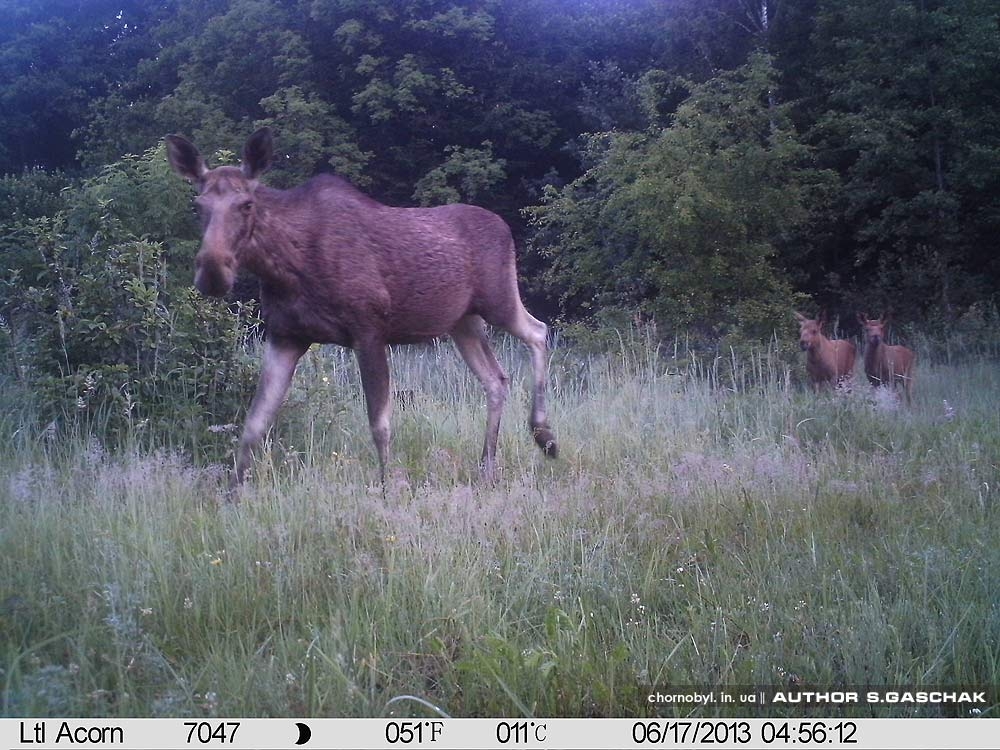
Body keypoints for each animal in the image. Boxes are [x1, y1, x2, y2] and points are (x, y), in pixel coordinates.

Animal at [164, 129, 556, 490]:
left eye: (246, 204)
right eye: (197, 205)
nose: (212, 271)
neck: (284, 268)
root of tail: (505, 227)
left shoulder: (368, 330)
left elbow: (379, 423)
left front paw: (389, 489)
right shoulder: (285, 335)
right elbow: (253, 423)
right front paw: (233, 494)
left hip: (498, 299)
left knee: (539, 331)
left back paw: (544, 436)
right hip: (463, 322)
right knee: (496, 378)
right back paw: (487, 468)